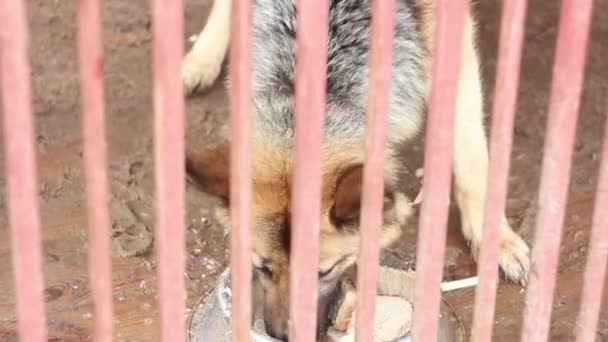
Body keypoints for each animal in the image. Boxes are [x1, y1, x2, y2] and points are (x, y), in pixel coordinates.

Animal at [183, 0, 528, 338]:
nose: (281, 335)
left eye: (324, 271)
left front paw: (494, 240)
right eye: (263, 267)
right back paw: (201, 59)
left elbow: (471, 159)